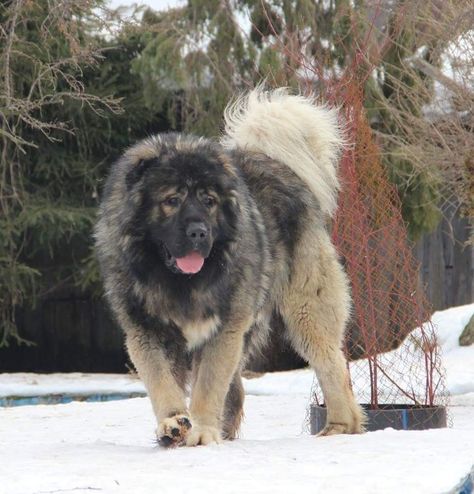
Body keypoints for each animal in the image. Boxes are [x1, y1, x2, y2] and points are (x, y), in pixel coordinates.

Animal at [94, 87, 364, 446]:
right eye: (172, 200)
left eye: (209, 201)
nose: (199, 232)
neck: (181, 282)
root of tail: (280, 165)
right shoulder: (147, 332)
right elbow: (162, 383)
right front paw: (173, 423)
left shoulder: (223, 331)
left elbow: (208, 388)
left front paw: (202, 430)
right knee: (237, 390)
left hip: (306, 309)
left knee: (332, 364)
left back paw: (339, 426)